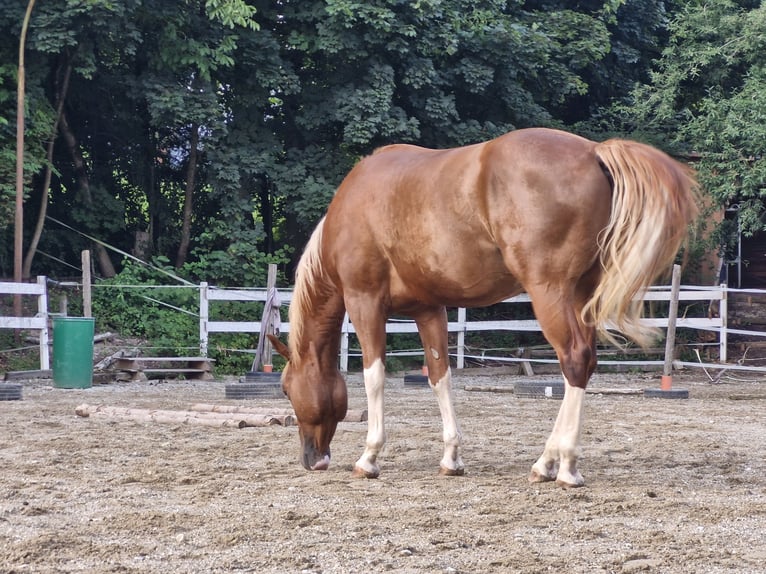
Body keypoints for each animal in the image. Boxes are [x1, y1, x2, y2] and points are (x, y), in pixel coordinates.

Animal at [268, 127, 699, 487]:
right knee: (584, 362)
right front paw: (451, 458)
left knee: (574, 360)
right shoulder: (429, 309)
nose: (312, 460)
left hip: (550, 292)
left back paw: (564, 467)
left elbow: (374, 376)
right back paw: (547, 462)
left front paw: (369, 457)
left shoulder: (365, 301)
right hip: (579, 296)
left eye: (287, 389)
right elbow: (439, 377)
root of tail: (593, 151)